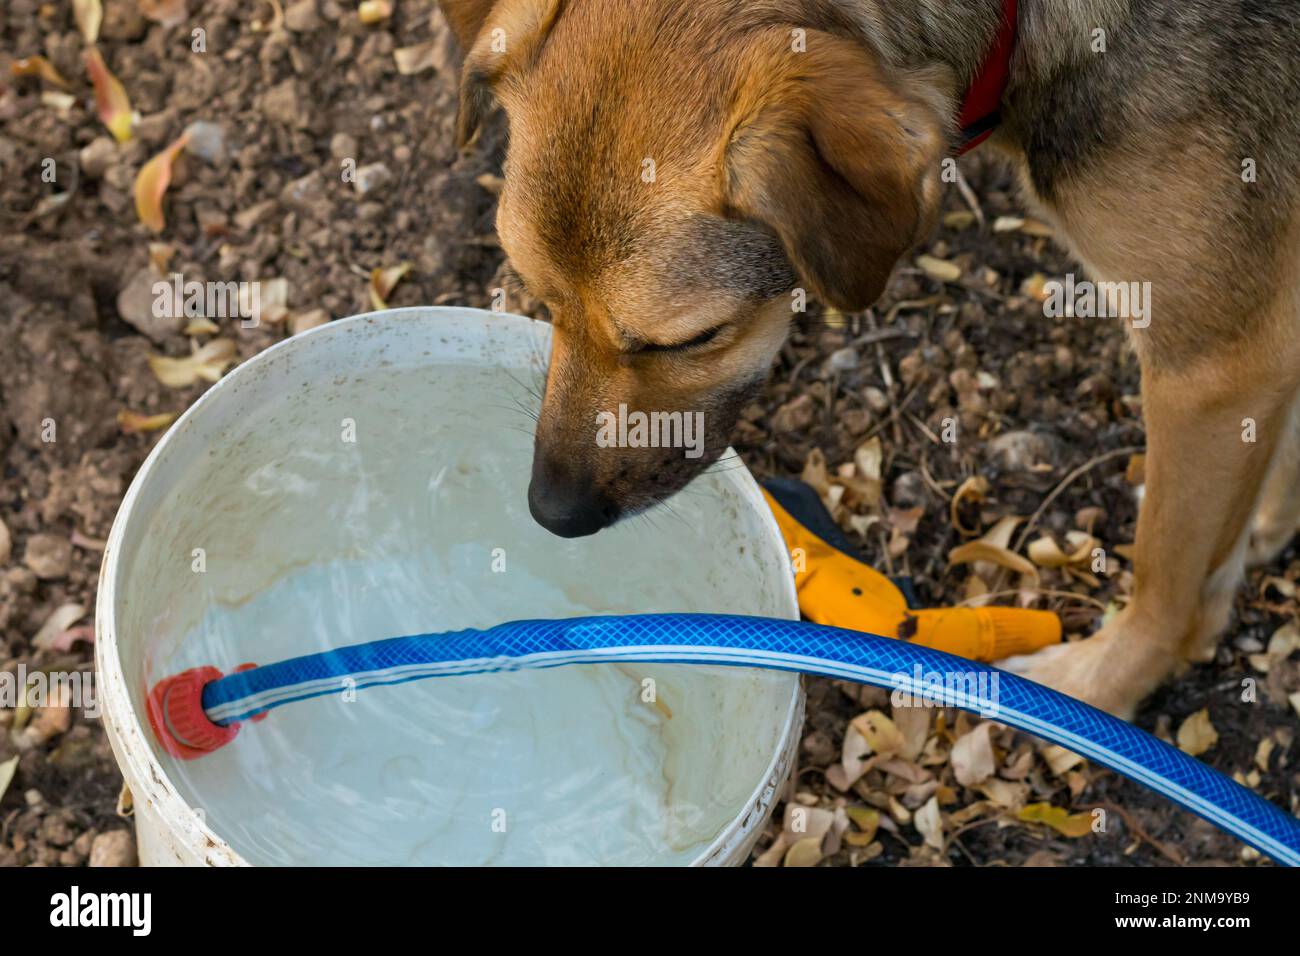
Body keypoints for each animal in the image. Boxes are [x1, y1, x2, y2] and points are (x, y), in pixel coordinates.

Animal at [439, 0, 1300, 717]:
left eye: (686, 341)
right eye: (542, 302)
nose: (552, 514)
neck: (1019, 21)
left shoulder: (1212, 365)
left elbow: (1169, 580)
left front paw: (1102, 689)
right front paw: (1270, 520)